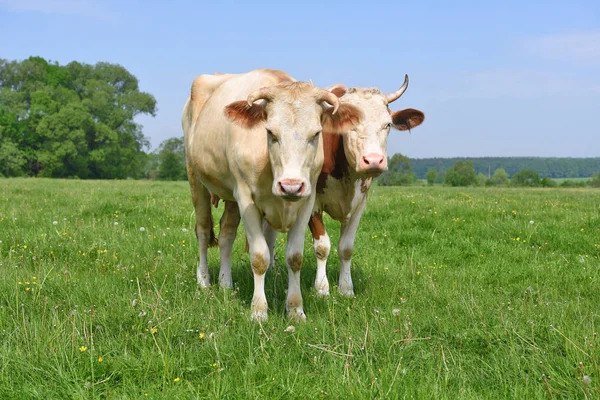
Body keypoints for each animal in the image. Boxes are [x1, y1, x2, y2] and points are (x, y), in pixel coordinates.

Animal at [182, 67, 360, 320]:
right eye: (270, 132)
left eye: (316, 134)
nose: (291, 186)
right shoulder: (246, 198)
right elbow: (259, 257)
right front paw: (258, 311)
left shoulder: (307, 202)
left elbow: (295, 257)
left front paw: (295, 309)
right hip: (195, 179)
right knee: (204, 230)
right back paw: (204, 281)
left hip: (231, 195)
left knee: (226, 235)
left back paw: (226, 283)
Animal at [310, 76, 426, 298]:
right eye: (351, 124)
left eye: (387, 124)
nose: (373, 160)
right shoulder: (311, 202)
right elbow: (322, 247)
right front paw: (322, 289)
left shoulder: (360, 203)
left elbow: (346, 248)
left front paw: (346, 288)